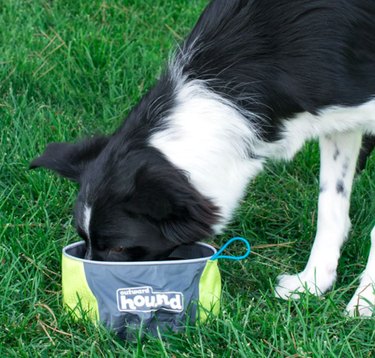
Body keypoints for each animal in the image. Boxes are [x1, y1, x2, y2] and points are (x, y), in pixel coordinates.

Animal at [30, 1, 375, 318]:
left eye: (119, 248)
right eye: (82, 239)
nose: (88, 294)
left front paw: (364, 302)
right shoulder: (337, 121)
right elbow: (330, 204)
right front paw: (313, 282)